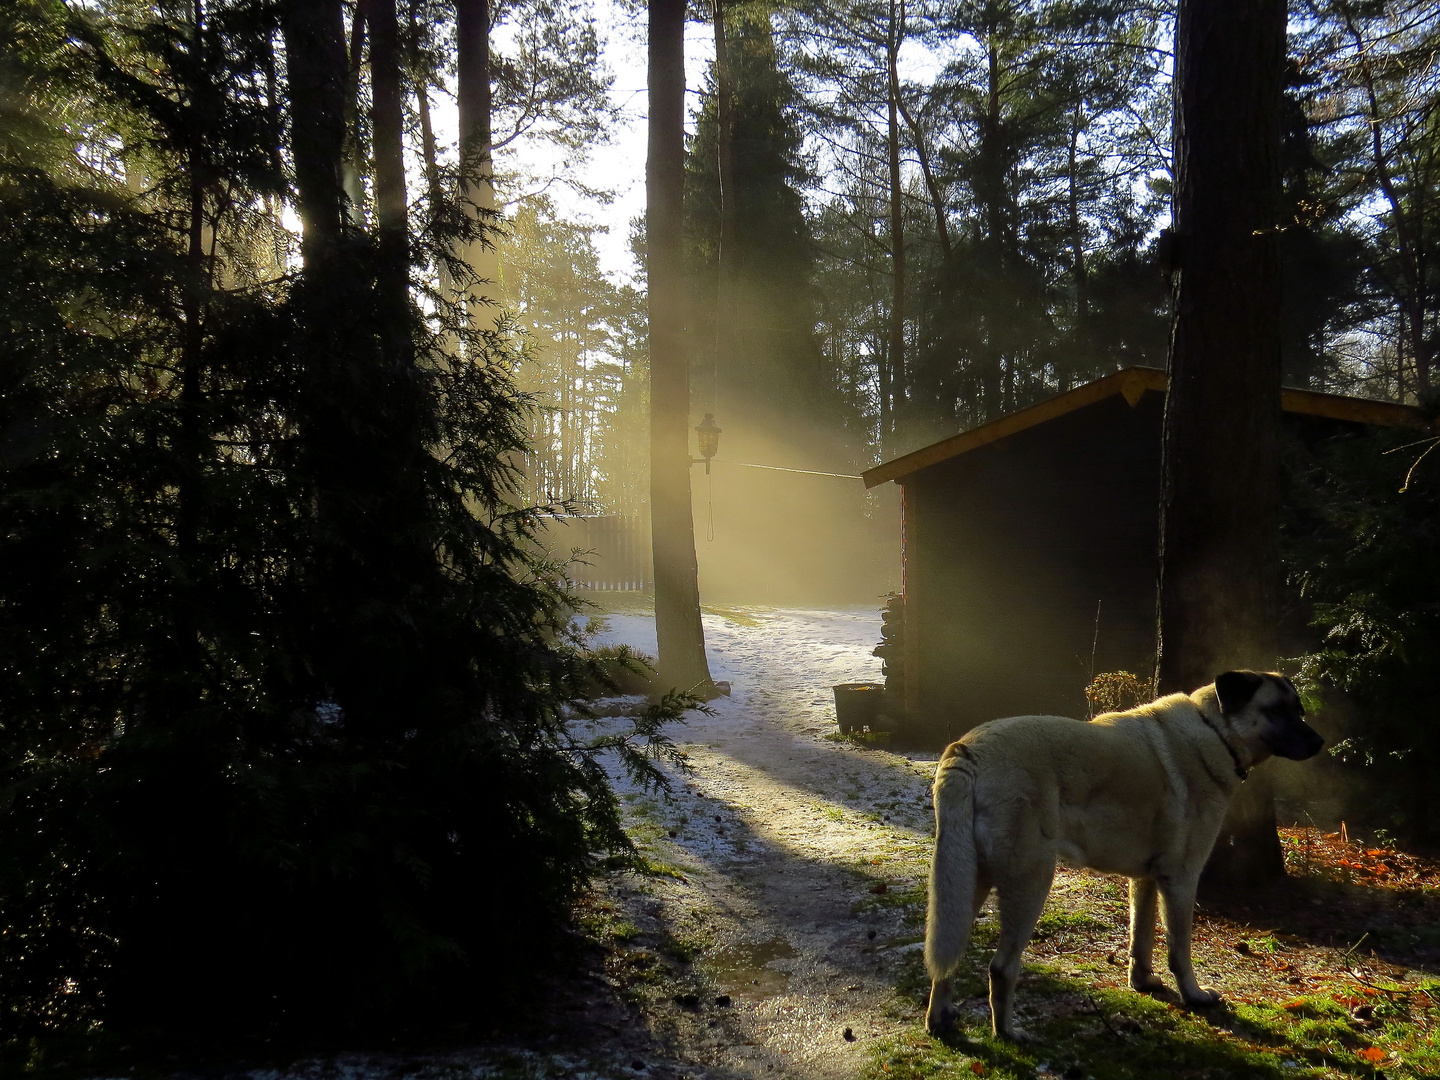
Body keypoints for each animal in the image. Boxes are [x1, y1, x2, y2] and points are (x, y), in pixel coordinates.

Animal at [927, 673, 1319, 1042]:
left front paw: (1143, 981)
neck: (1216, 730)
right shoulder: (1181, 879)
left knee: (948, 954)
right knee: (1001, 967)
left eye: (1298, 709)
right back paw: (1007, 1032)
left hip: (967, 881)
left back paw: (940, 1020)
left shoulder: (1146, 878)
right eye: (1276, 711)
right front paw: (1193, 996)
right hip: (1030, 882)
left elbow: (1140, 937)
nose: (1320, 742)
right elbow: (1179, 950)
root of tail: (967, 749)